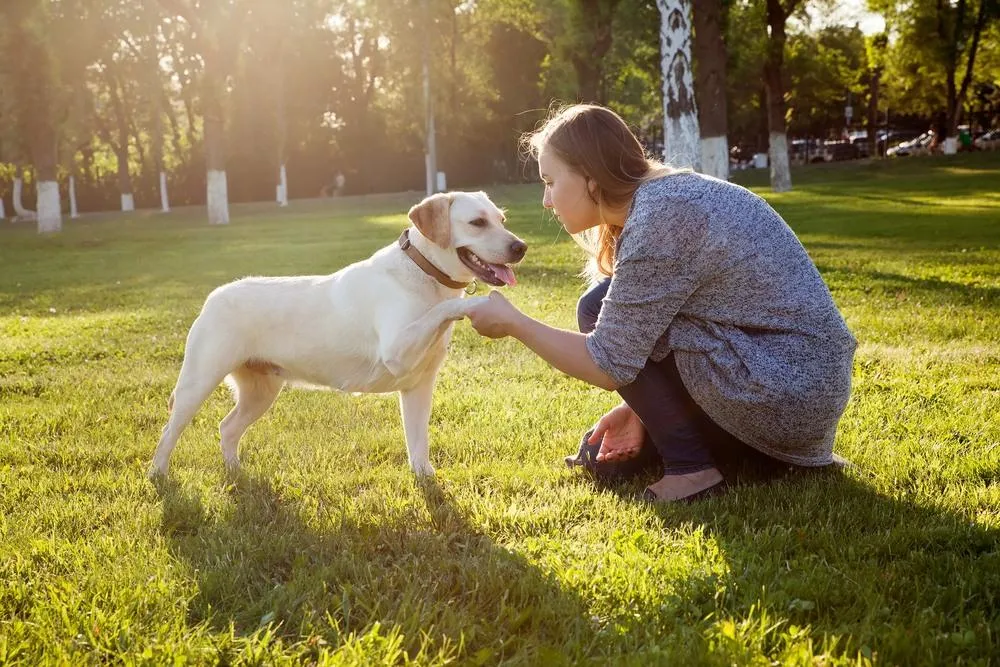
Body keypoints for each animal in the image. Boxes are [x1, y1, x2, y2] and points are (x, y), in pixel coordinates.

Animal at [149, 190, 528, 478]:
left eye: (501, 220)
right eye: (477, 223)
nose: (521, 247)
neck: (424, 274)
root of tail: (214, 296)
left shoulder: (419, 385)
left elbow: (418, 444)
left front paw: (426, 480)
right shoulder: (397, 351)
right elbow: (442, 310)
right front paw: (478, 304)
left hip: (261, 392)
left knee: (227, 428)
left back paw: (236, 473)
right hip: (197, 384)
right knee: (168, 433)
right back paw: (159, 479)